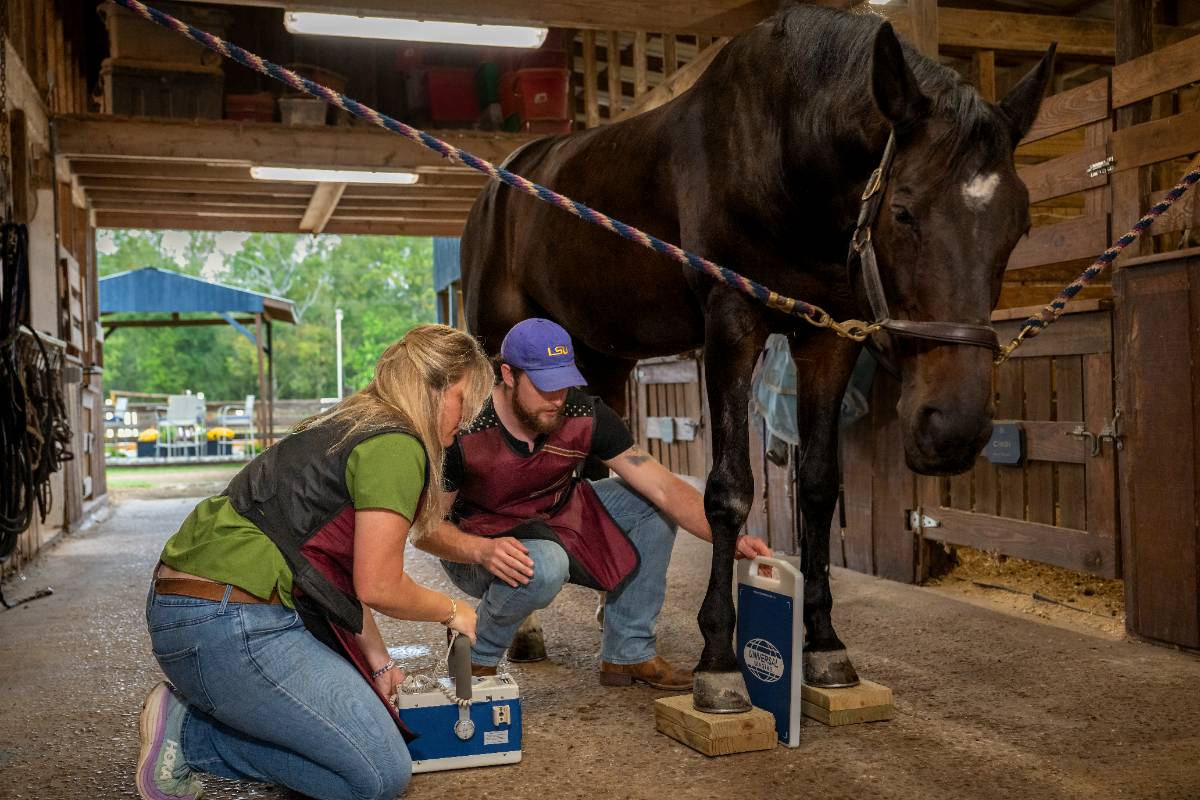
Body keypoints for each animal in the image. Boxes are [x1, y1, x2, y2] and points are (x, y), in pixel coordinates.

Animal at [460, 3, 1053, 713]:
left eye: (1019, 226)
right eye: (905, 210)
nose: (954, 430)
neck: (781, 145)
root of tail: (501, 183)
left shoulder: (829, 336)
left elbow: (819, 486)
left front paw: (824, 647)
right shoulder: (732, 322)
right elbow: (728, 491)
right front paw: (719, 662)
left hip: (601, 354)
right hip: (503, 340)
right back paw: (525, 631)